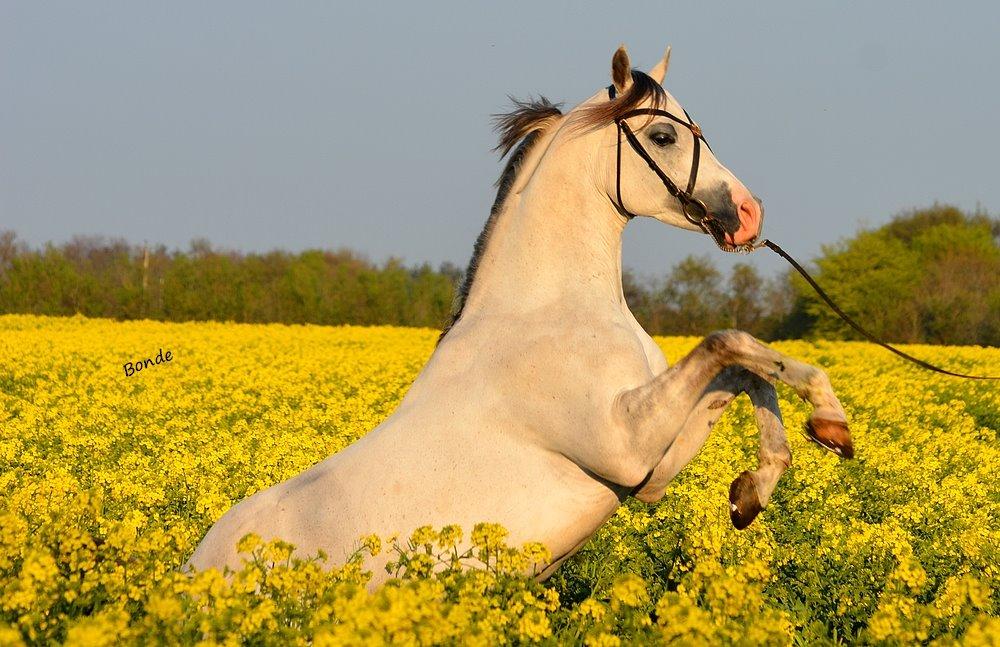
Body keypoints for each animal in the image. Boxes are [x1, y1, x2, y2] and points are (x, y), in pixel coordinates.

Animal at [191, 43, 856, 584]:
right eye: (665, 138)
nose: (748, 214)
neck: (545, 312)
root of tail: (191, 571)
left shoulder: (650, 472)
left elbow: (746, 371)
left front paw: (761, 484)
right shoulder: (625, 445)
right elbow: (729, 343)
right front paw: (829, 422)